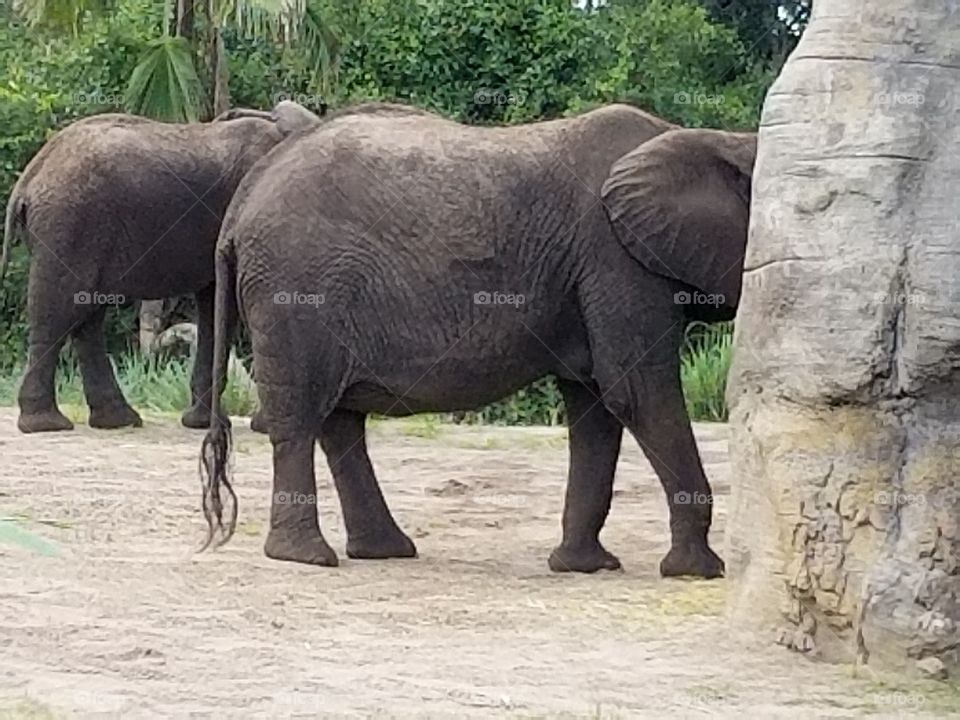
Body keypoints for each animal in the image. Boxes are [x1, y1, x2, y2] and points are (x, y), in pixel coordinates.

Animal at [0, 101, 322, 434]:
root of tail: (31, 175)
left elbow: (213, 307)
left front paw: (201, 423)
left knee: (87, 314)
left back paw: (116, 420)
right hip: (70, 224)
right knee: (58, 311)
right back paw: (46, 424)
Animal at [201, 104, 756, 580]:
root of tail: (239, 209)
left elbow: (595, 406)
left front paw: (584, 567)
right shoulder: (616, 259)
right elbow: (636, 391)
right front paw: (699, 570)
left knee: (340, 420)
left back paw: (383, 550)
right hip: (296, 290)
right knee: (302, 416)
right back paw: (306, 556)